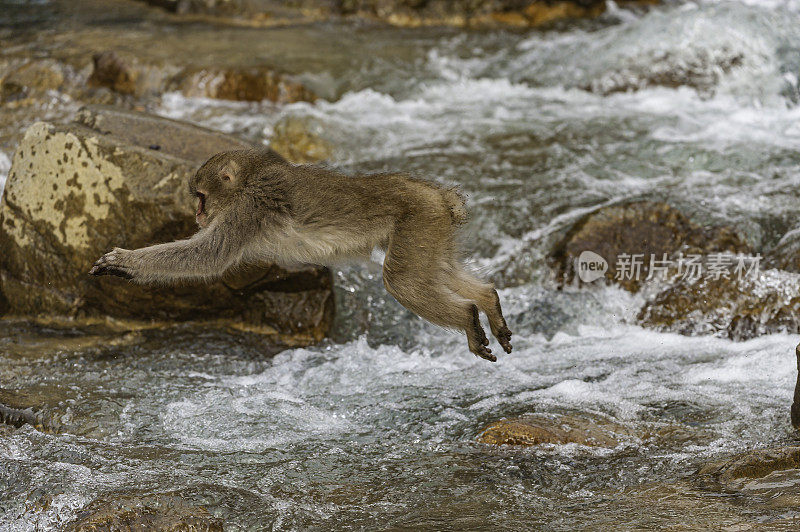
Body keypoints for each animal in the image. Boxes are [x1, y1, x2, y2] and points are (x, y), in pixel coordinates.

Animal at [87, 150, 512, 362]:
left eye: (201, 197)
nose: (198, 215)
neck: (249, 181)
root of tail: (438, 195)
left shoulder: (247, 211)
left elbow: (208, 256)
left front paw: (125, 262)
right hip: (432, 227)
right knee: (438, 269)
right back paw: (487, 301)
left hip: (418, 219)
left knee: (402, 281)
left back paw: (468, 316)